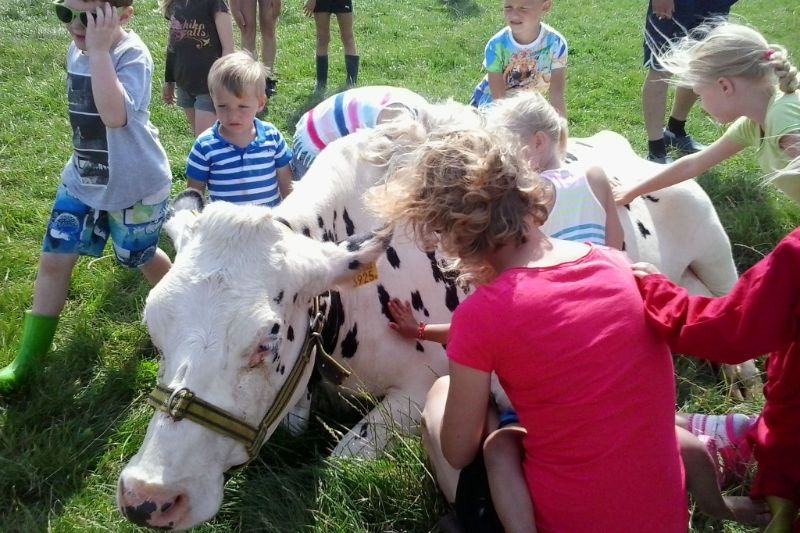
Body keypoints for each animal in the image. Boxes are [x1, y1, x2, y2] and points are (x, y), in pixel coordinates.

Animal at [117, 103, 752, 528]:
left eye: (267, 340)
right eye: (156, 330)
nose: (148, 495)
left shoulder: (426, 383)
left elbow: (346, 461)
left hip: (717, 253)